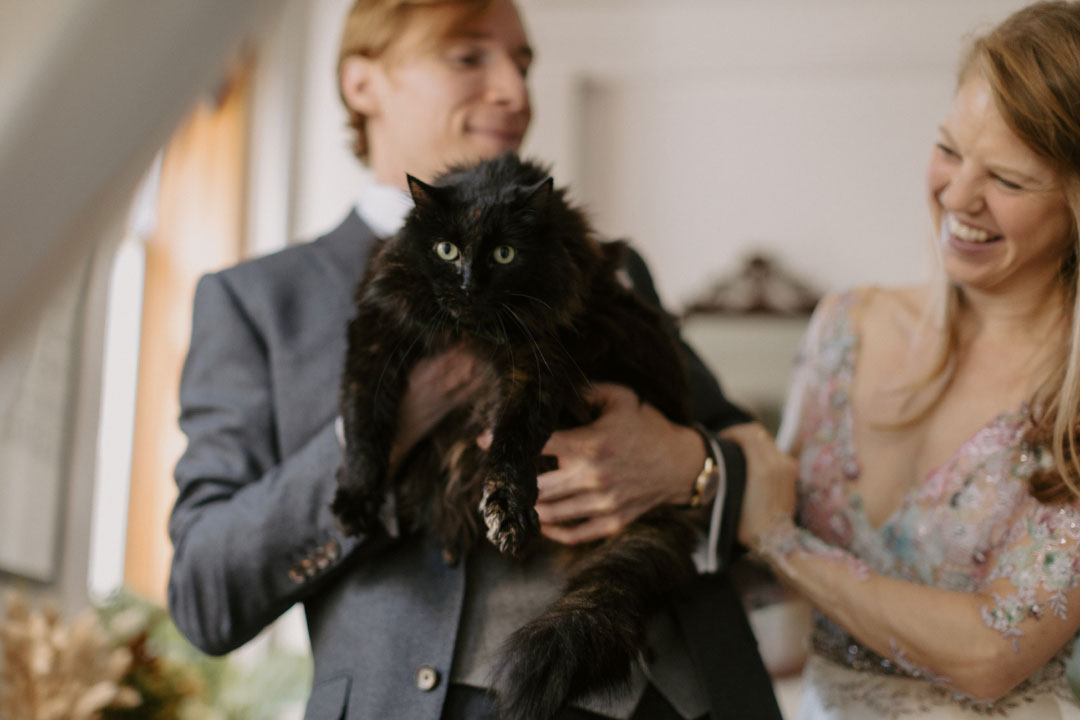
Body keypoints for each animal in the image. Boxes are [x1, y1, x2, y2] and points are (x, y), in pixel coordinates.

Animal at [334, 155, 699, 716]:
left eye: (505, 254)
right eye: (446, 250)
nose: (468, 285)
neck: (472, 333)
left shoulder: (536, 365)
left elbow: (512, 445)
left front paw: (507, 510)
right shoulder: (377, 332)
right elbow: (361, 423)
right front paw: (356, 496)